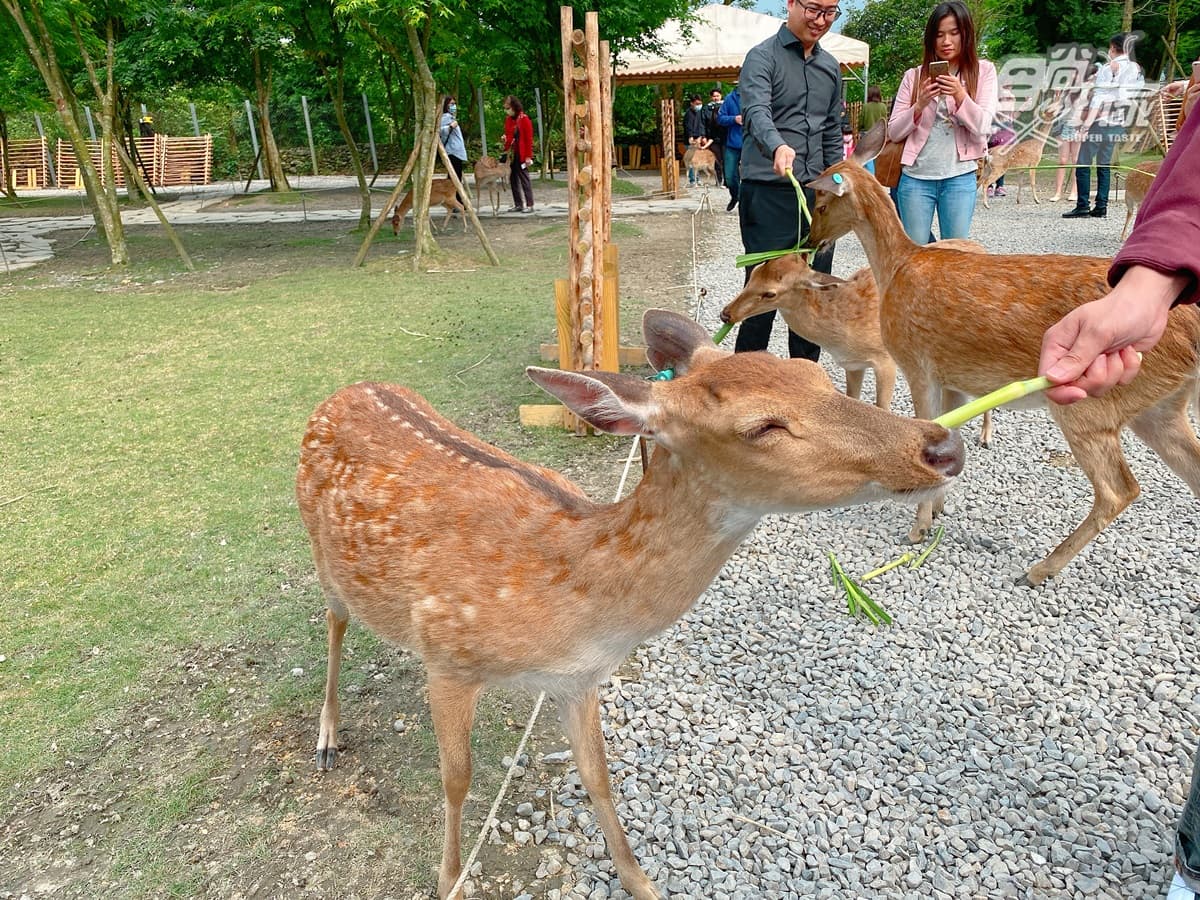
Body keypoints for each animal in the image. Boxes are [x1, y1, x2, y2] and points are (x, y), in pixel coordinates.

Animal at [295, 309, 965, 900]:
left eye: (816, 375)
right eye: (762, 426)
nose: (942, 447)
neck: (573, 606)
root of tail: (345, 390)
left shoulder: (576, 680)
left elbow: (598, 777)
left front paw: (640, 881)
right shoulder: (448, 654)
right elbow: (457, 779)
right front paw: (449, 883)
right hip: (321, 552)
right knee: (334, 617)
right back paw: (326, 738)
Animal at [720, 242, 992, 445]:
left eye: (770, 293)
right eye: (755, 271)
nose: (726, 314)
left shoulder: (885, 359)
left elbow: (882, 406)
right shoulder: (853, 364)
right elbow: (853, 399)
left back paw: (985, 437)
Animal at [804, 120, 1200, 587]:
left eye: (820, 202)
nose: (809, 241)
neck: (897, 268)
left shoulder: (918, 364)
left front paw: (917, 529)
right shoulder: (952, 377)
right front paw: (938, 511)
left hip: (1088, 401)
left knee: (1119, 489)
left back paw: (1039, 569)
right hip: (1160, 406)